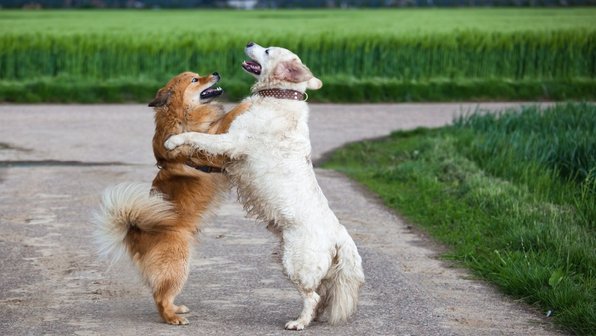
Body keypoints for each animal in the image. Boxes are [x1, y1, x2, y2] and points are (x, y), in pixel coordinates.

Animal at [92, 71, 249, 326]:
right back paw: (172, 318)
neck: (183, 116)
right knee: (160, 298)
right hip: (178, 262)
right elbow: (228, 118)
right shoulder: (209, 141)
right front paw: (248, 102)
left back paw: (177, 309)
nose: (216, 73)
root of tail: (134, 230)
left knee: (161, 293)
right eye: (195, 80)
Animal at [165, 42, 366, 330]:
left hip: (295, 262)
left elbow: (196, 136)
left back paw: (298, 323)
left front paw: (173, 141)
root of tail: (340, 235)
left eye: (269, 50)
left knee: (313, 296)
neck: (280, 97)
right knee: (322, 295)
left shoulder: (232, 142)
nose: (249, 43)